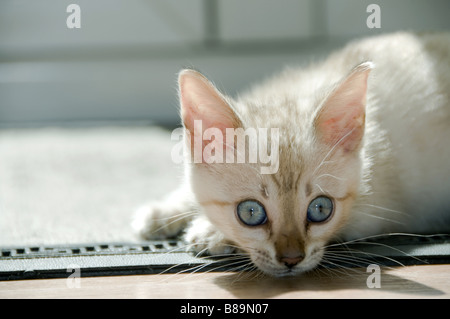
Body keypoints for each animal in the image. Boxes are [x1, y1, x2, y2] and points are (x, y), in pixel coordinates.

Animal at [131, 33, 450, 278]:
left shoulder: (381, 206)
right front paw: (162, 212)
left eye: (320, 209)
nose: (291, 259)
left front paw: (210, 231)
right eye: (251, 213)